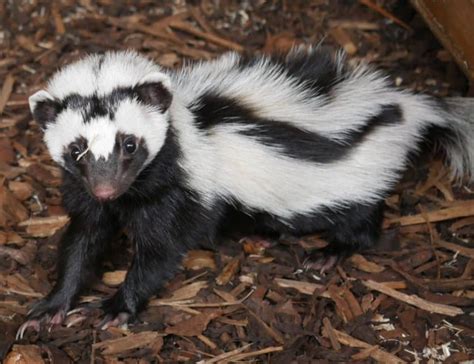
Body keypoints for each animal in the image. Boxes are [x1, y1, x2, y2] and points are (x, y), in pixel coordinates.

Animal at [16, 48, 472, 338]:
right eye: (77, 149)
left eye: (130, 144)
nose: (107, 188)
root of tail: (401, 106)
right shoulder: (85, 193)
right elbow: (82, 241)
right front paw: (49, 308)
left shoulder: (182, 191)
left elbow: (160, 252)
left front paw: (116, 308)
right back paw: (263, 234)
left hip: (359, 172)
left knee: (363, 219)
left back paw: (328, 253)